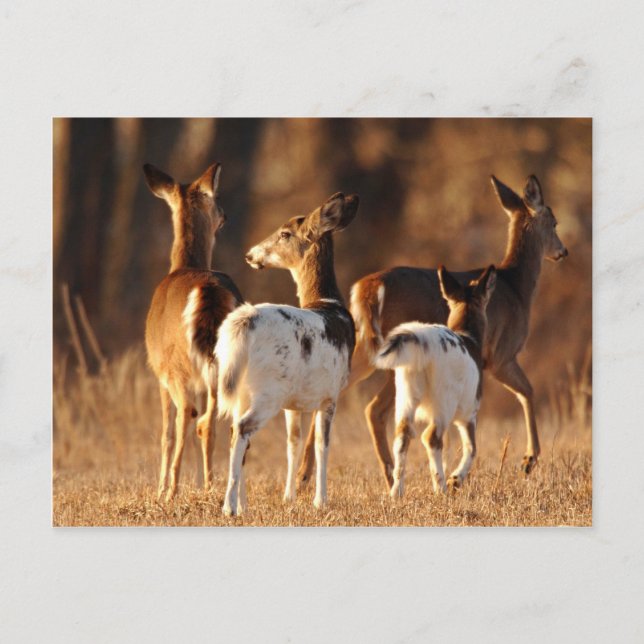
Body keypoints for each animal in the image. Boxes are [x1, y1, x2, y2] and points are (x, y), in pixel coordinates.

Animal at [144, 162, 244, 502]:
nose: (226, 215)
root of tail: (208, 287)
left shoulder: (158, 372)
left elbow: (165, 432)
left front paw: (161, 488)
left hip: (176, 365)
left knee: (187, 414)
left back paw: (172, 490)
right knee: (217, 423)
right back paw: (217, 487)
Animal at [214, 192, 359, 516]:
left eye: (284, 233)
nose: (250, 255)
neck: (328, 303)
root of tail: (245, 322)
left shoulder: (295, 404)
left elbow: (293, 444)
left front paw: (288, 497)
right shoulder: (331, 395)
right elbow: (322, 445)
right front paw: (321, 500)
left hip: (240, 386)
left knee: (234, 432)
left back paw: (242, 504)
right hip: (270, 389)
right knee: (241, 429)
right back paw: (229, 506)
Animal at [375, 265, 496, 497]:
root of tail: (423, 340)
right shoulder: (470, 412)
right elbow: (472, 448)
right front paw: (454, 480)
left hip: (405, 393)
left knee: (403, 435)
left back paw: (396, 492)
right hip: (444, 398)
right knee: (430, 437)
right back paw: (441, 489)